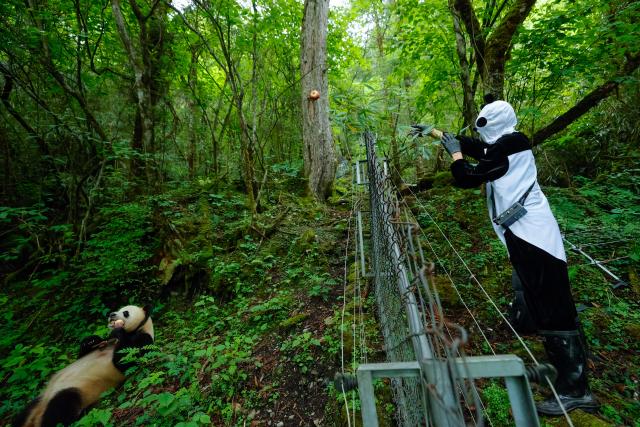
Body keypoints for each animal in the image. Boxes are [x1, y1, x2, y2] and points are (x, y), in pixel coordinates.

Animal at [14, 305, 154, 427]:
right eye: (119, 309)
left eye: (126, 313)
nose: (111, 314)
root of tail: (36, 417)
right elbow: (85, 351)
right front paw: (91, 340)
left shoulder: (143, 340)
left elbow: (125, 362)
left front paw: (118, 330)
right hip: (39, 400)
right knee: (23, 414)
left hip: (76, 391)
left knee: (60, 409)